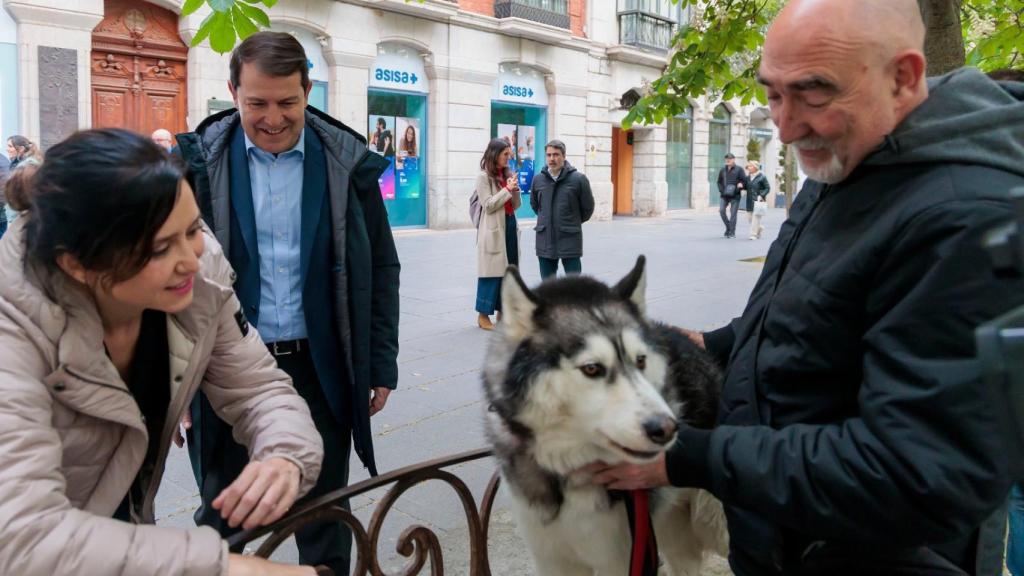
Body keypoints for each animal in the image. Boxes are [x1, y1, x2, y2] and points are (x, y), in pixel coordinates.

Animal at [485, 255, 729, 573]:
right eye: (592, 368)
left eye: (640, 361)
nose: (666, 429)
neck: (568, 470)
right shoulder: (552, 558)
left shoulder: (621, 558)